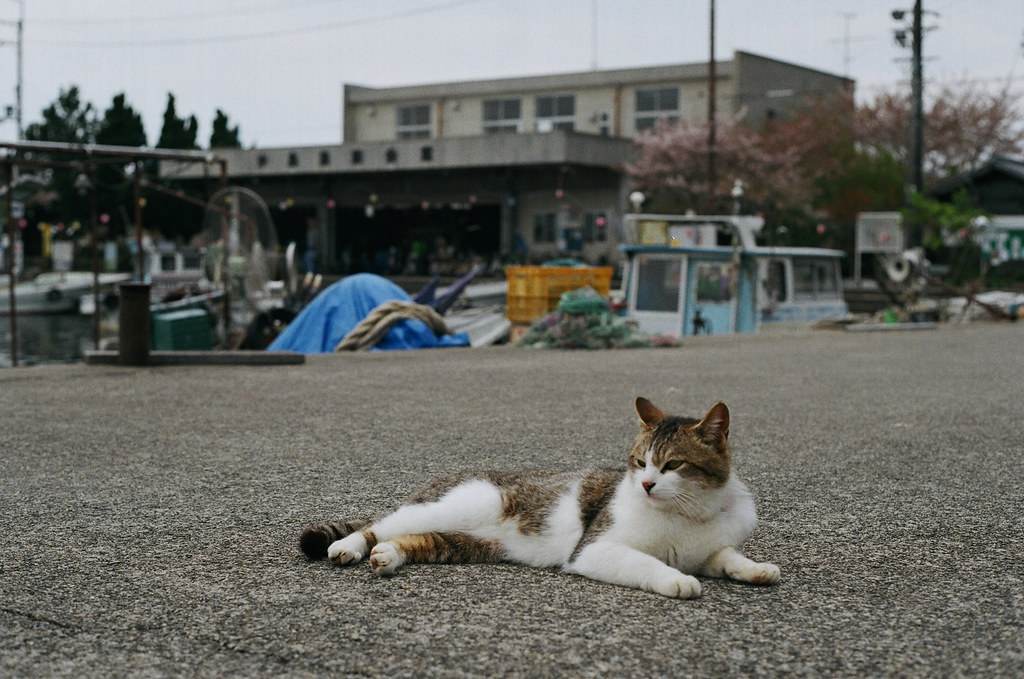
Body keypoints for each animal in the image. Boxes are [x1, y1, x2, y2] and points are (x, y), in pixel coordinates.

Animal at [299, 399, 778, 602]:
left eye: (673, 464)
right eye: (641, 461)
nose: (645, 485)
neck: (688, 513)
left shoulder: (707, 549)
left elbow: (727, 556)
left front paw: (756, 570)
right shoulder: (596, 549)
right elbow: (648, 563)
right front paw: (676, 580)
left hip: (469, 543)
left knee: (414, 539)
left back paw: (388, 557)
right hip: (459, 504)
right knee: (378, 524)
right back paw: (348, 547)